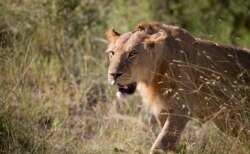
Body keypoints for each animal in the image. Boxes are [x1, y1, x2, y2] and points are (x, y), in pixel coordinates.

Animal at [106, 21, 250, 153]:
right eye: (112, 53)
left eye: (132, 54)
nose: (113, 75)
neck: (156, 76)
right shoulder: (163, 111)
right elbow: (170, 141)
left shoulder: (182, 109)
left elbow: (160, 144)